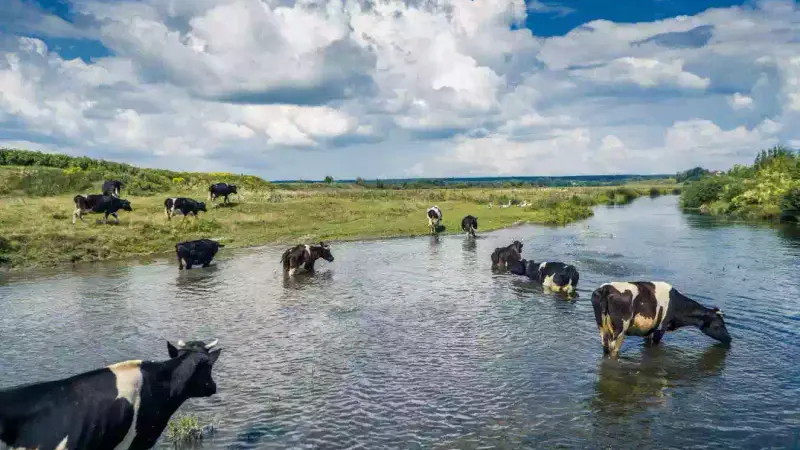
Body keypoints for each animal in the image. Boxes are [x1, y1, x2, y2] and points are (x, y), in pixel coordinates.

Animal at [590, 281, 732, 359]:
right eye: (719, 325)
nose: (730, 338)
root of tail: (606, 288)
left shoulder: (650, 330)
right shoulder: (660, 329)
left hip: (602, 328)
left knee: (605, 348)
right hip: (620, 331)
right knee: (613, 352)